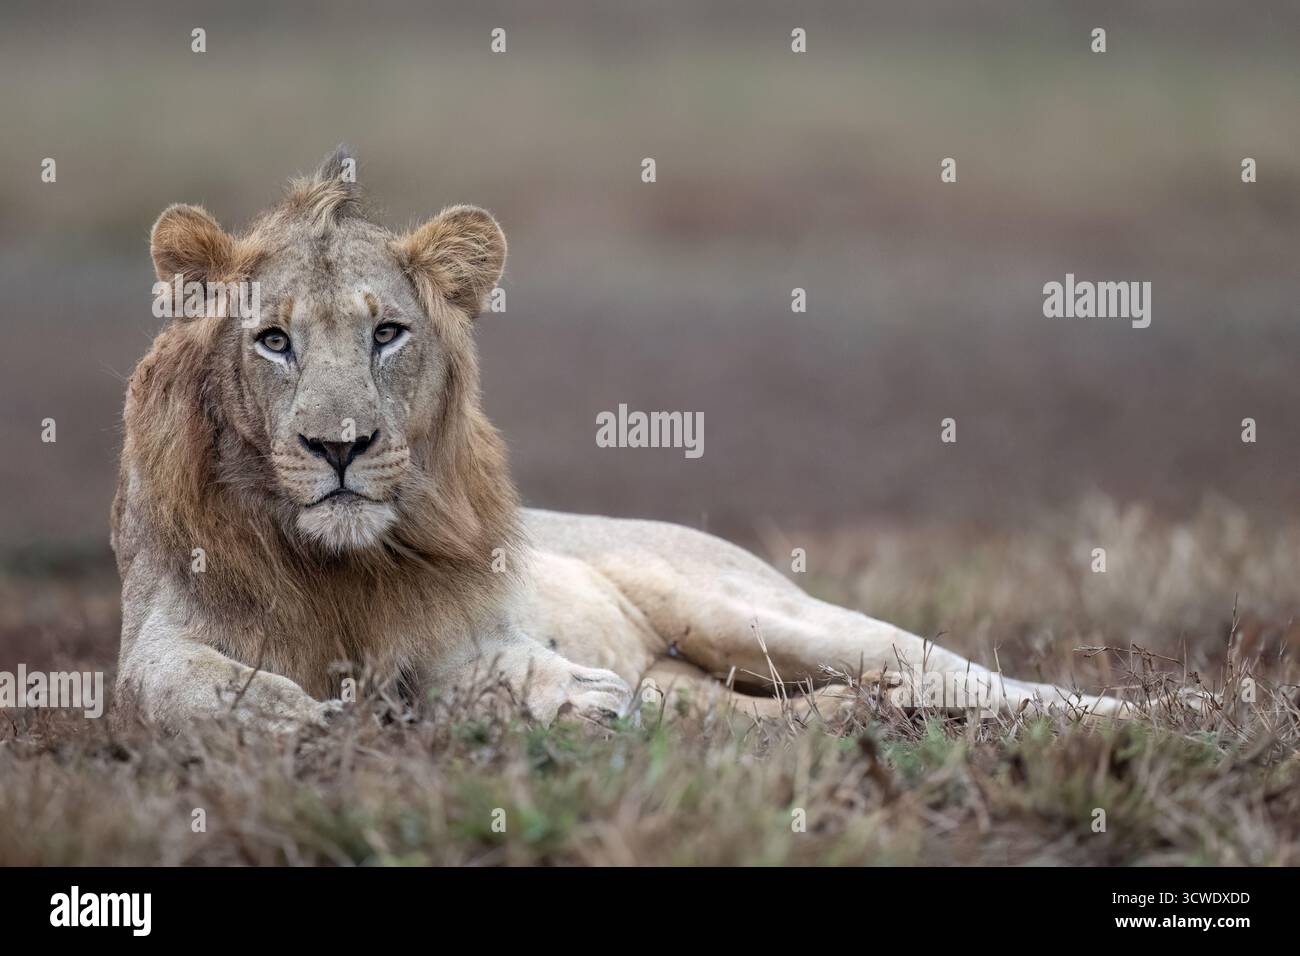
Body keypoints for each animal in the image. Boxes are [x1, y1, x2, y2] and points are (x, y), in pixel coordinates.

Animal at [112, 148, 1126, 732]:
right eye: (273, 341)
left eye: (387, 333)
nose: (340, 447)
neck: (334, 569)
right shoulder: (151, 637)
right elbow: (176, 681)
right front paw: (283, 717)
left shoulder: (459, 635)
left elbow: (483, 672)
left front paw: (568, 693)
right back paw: (862, 715)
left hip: (753, 612)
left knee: (964, 672)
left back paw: (1123, 712)